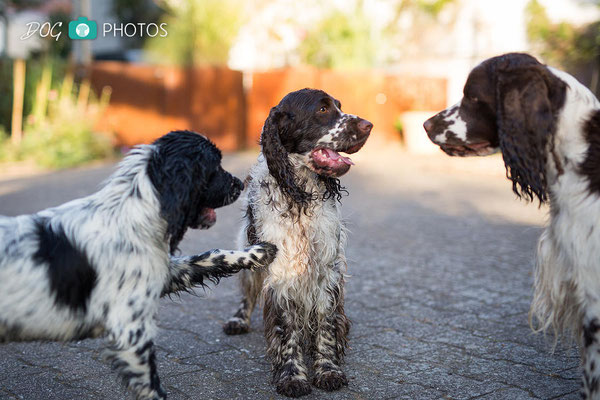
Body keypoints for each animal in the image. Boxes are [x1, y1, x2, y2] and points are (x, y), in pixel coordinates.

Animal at [0, 131, 276, 400]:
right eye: (215, 166)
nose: (240, 183)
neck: (130, 213)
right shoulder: (130, 329)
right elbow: (152, 387)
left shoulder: (163, 273)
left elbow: (211, 257)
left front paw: (258, 252)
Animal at [220, 89, 370, 398]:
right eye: (323, 109)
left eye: (340, 106)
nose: (369, 125)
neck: (300, 195)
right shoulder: (281, 270)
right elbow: (287, 329)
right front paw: (292, 376)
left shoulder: (327, 270)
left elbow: (326, 325)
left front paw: (328, 371)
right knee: (247, 294)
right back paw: (238, 320)